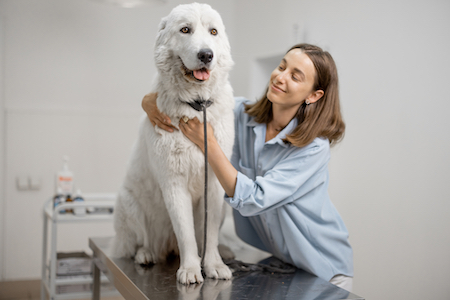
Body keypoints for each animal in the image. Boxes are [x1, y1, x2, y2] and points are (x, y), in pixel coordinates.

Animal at [111, 2, 236, 284]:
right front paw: (190, 269)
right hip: (128, 202)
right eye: (185, 30)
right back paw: (145, 254)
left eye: (213, 31)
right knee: (141, 241)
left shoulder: (214, 184)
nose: (206, 55)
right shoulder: (174, 183)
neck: (197, 106)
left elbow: (208, 234)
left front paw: (213, 264)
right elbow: (186, 233)